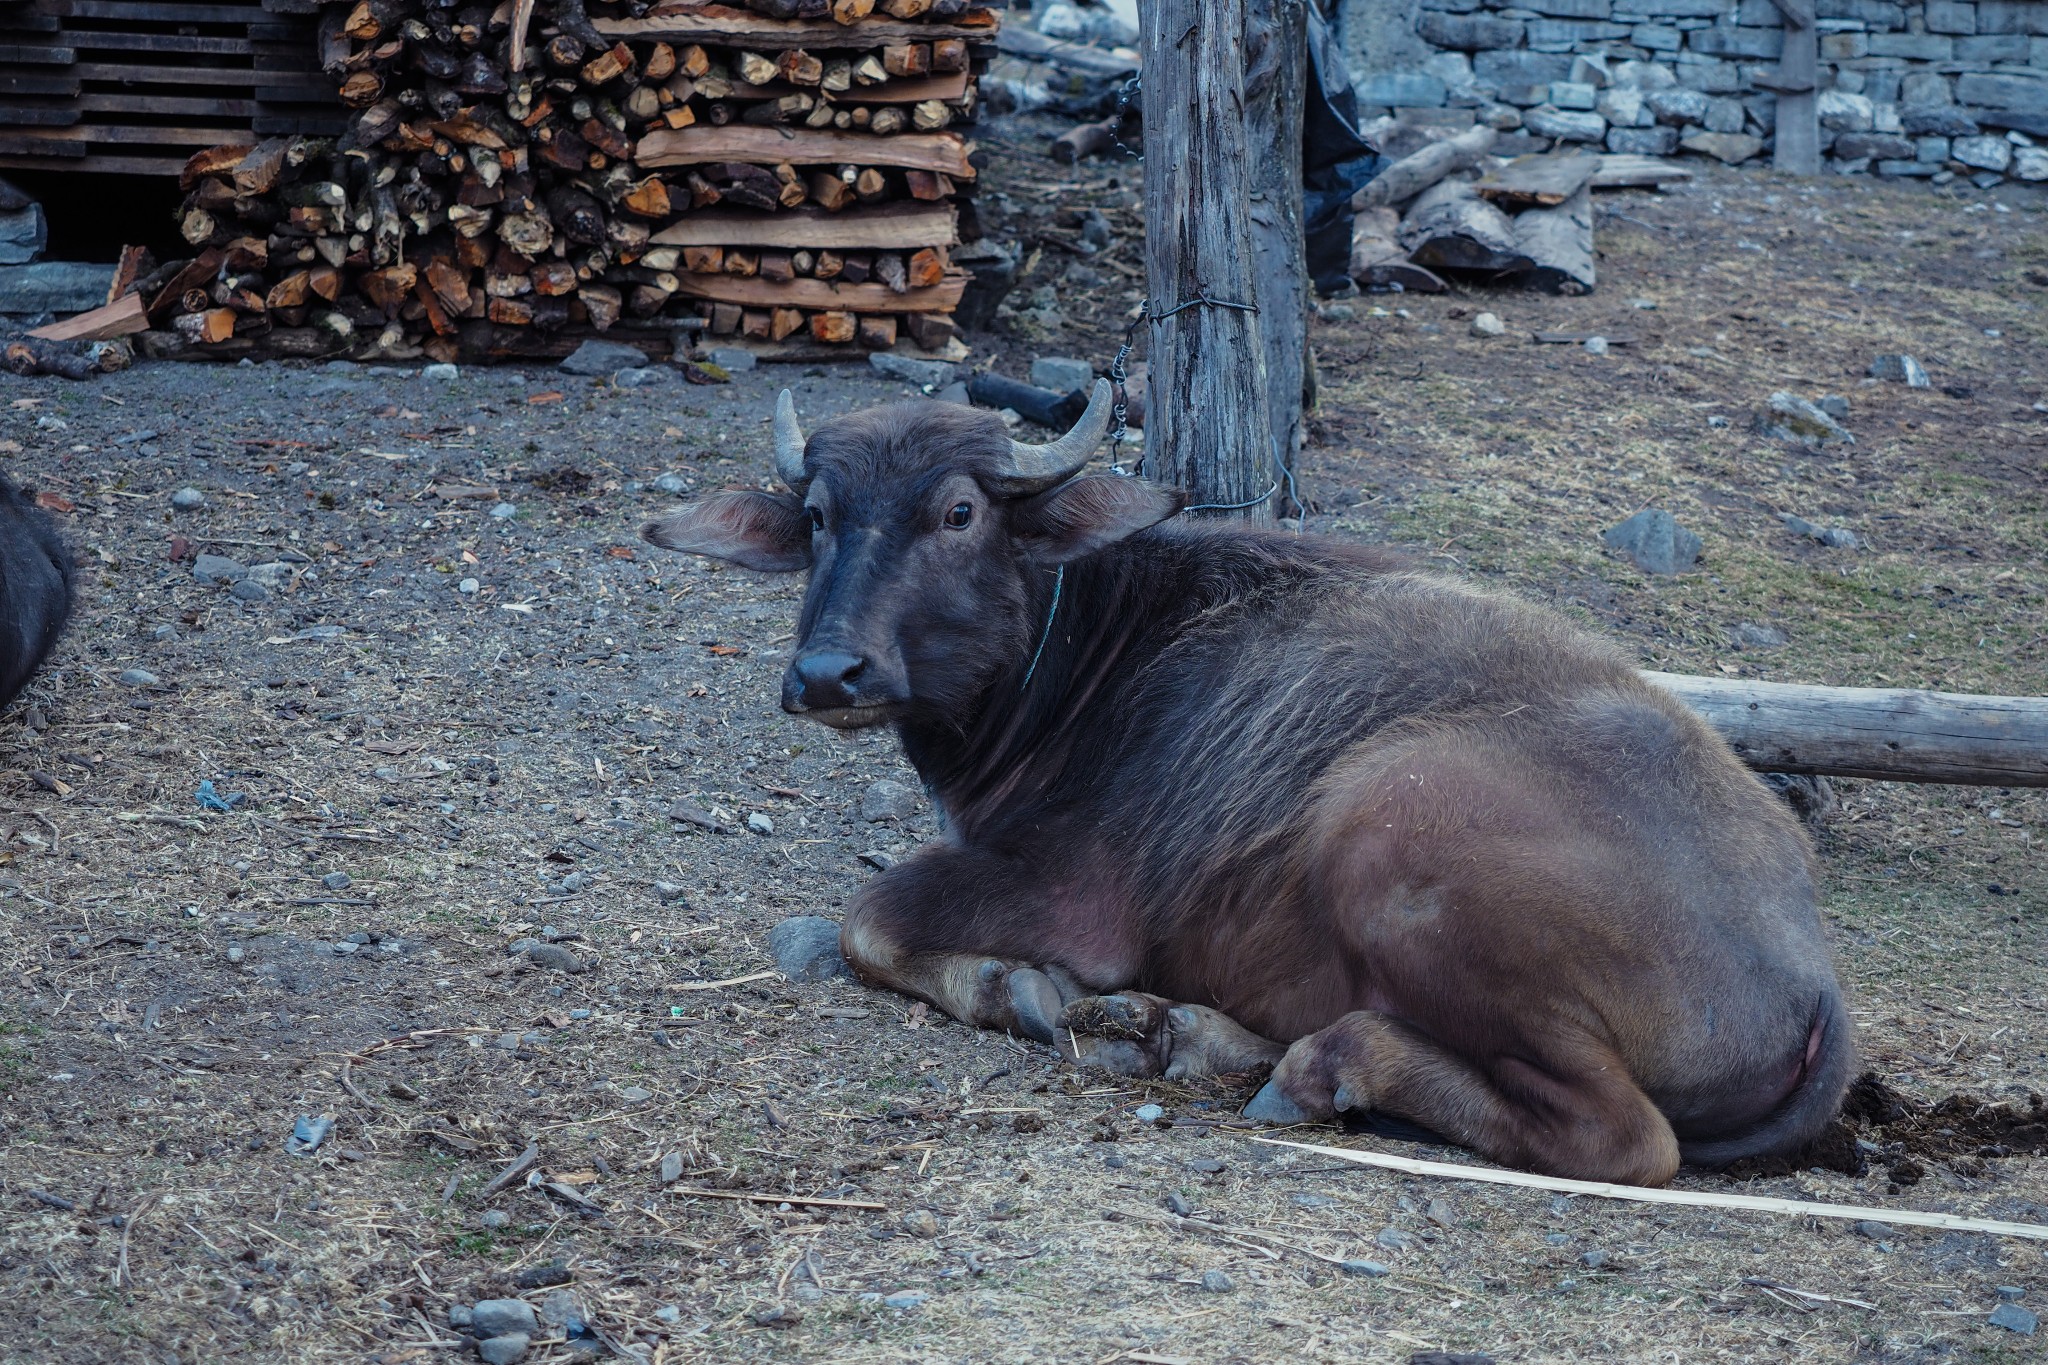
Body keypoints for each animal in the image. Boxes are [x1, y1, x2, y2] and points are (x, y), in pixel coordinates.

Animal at [643, 382, 1859, 1186]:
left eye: (958, 511)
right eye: (816, 517)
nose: (827, 674)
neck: (1080, 653)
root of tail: (1810, 969)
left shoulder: (1072, 896)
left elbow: (871, 918)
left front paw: (1020, 989)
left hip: (1388, 813)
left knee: (1623, 1137)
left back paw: (1320, 1066)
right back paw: (1194, 1035)